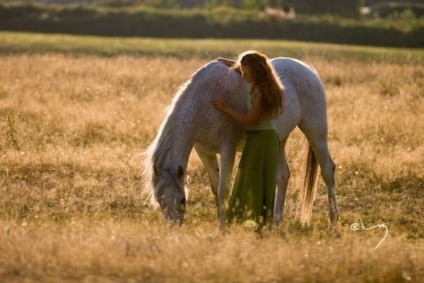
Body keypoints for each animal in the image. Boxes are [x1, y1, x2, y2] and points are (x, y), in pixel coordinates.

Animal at [144, 57, 340, 233]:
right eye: (161, 202)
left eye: (183, 201)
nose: (173, 228)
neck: (204, 102)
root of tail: (309, 69)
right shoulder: (204, 152)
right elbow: (215, 187)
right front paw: (221, 219)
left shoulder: (227, 148)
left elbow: (223, 189)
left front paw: (222, 226)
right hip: (280, 139)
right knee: (283, 176)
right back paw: (276, 222)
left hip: (316, 131)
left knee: (327, 171)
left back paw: (333, 223)